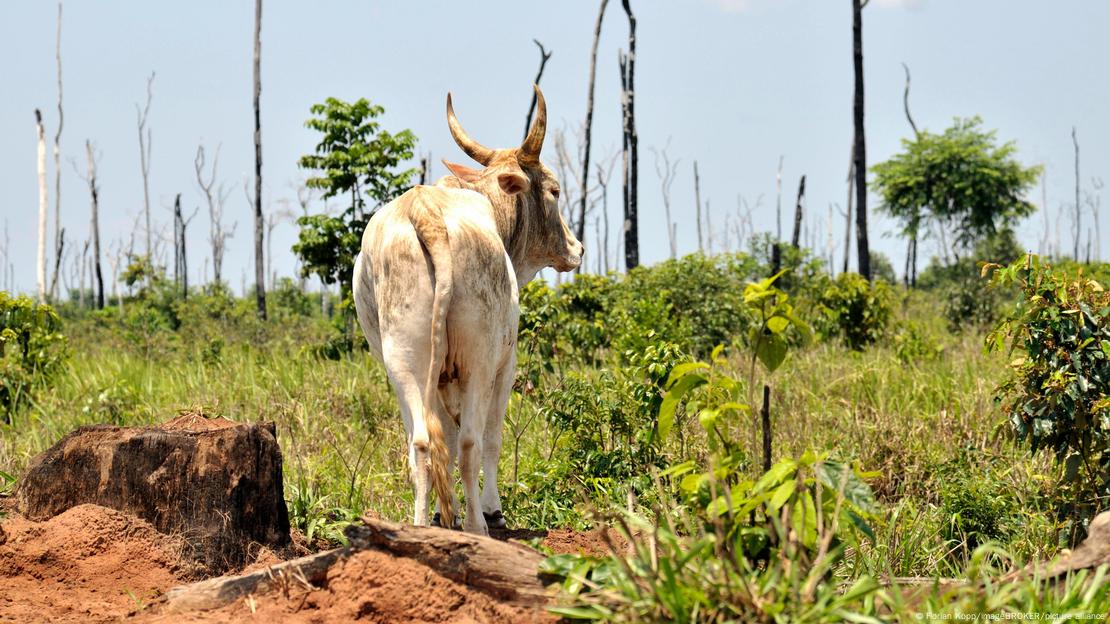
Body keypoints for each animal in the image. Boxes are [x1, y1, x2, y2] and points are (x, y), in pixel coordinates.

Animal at [352, 83, 581, 535]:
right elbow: (489, 438)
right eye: (555, 190)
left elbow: (445, 436)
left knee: (422, 442)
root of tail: (424, 211)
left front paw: (448, 513)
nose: (576, 248)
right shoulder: (505, 363)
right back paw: (479, 526)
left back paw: (424, 525)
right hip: (479, 359)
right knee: (473, 442)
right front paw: (491, 509)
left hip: (403, 359)